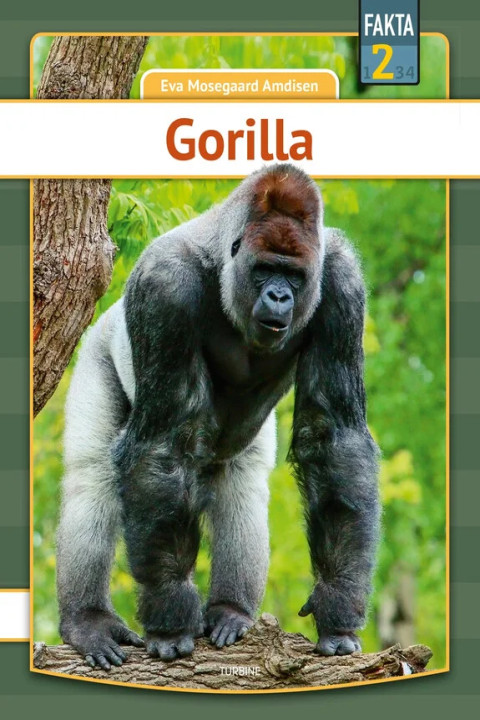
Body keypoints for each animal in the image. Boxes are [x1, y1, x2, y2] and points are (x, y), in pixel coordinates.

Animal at [56, 164, 380, 670]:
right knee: (92, 478)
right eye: (265, 269)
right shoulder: (164, 285)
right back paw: (87, 620)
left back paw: (232, 611)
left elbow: (335, 440)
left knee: (242, 484)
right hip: (99, 345)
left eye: (294, 275)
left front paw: (338, 604)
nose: (279, 296)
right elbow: (163, 446)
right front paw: (171, 618)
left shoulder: (343, 282)